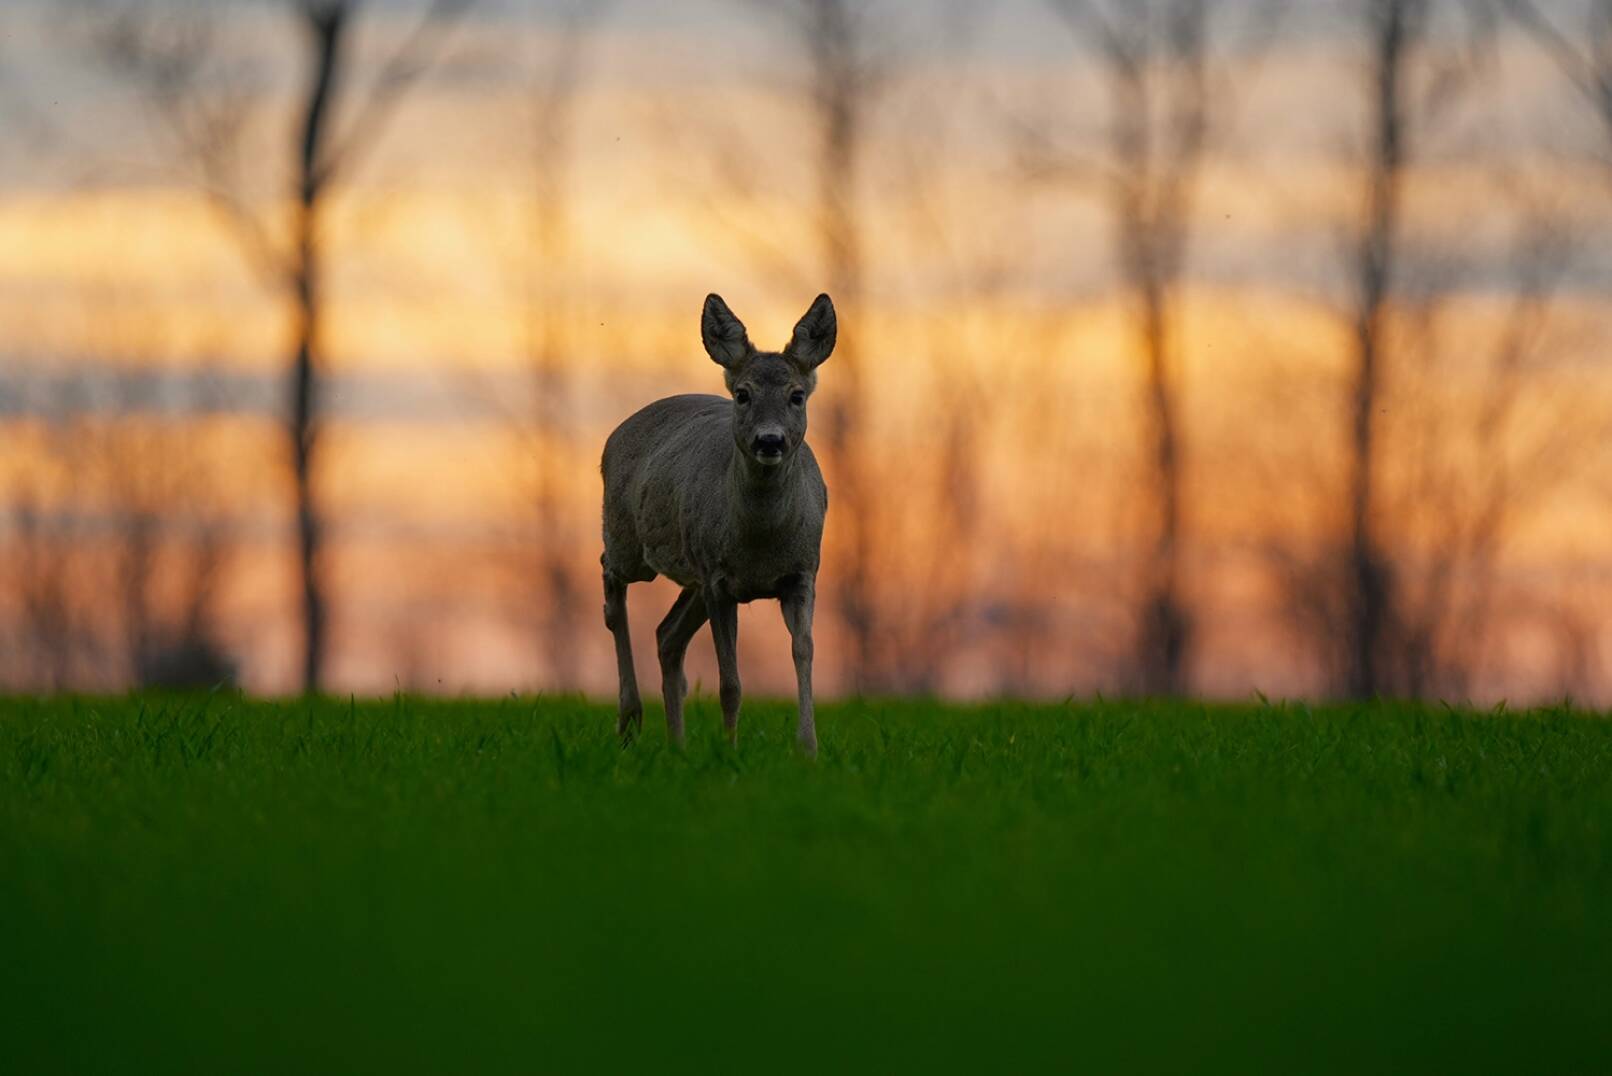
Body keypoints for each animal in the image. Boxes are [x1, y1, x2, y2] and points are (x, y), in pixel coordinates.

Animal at [602, 290, 838, 754]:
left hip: (691, 571)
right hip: (626, 538)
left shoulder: (803, 573)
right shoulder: (718, 580)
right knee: (611, 586)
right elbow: (730, 682)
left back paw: (676, 744)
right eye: (743, 394)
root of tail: (617, 432)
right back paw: (630, 717)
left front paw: (808, 748)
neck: (759, 544)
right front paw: (730, 750)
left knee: (667, 635)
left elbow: (804, 651)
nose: (770, 440)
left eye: (797, 395)